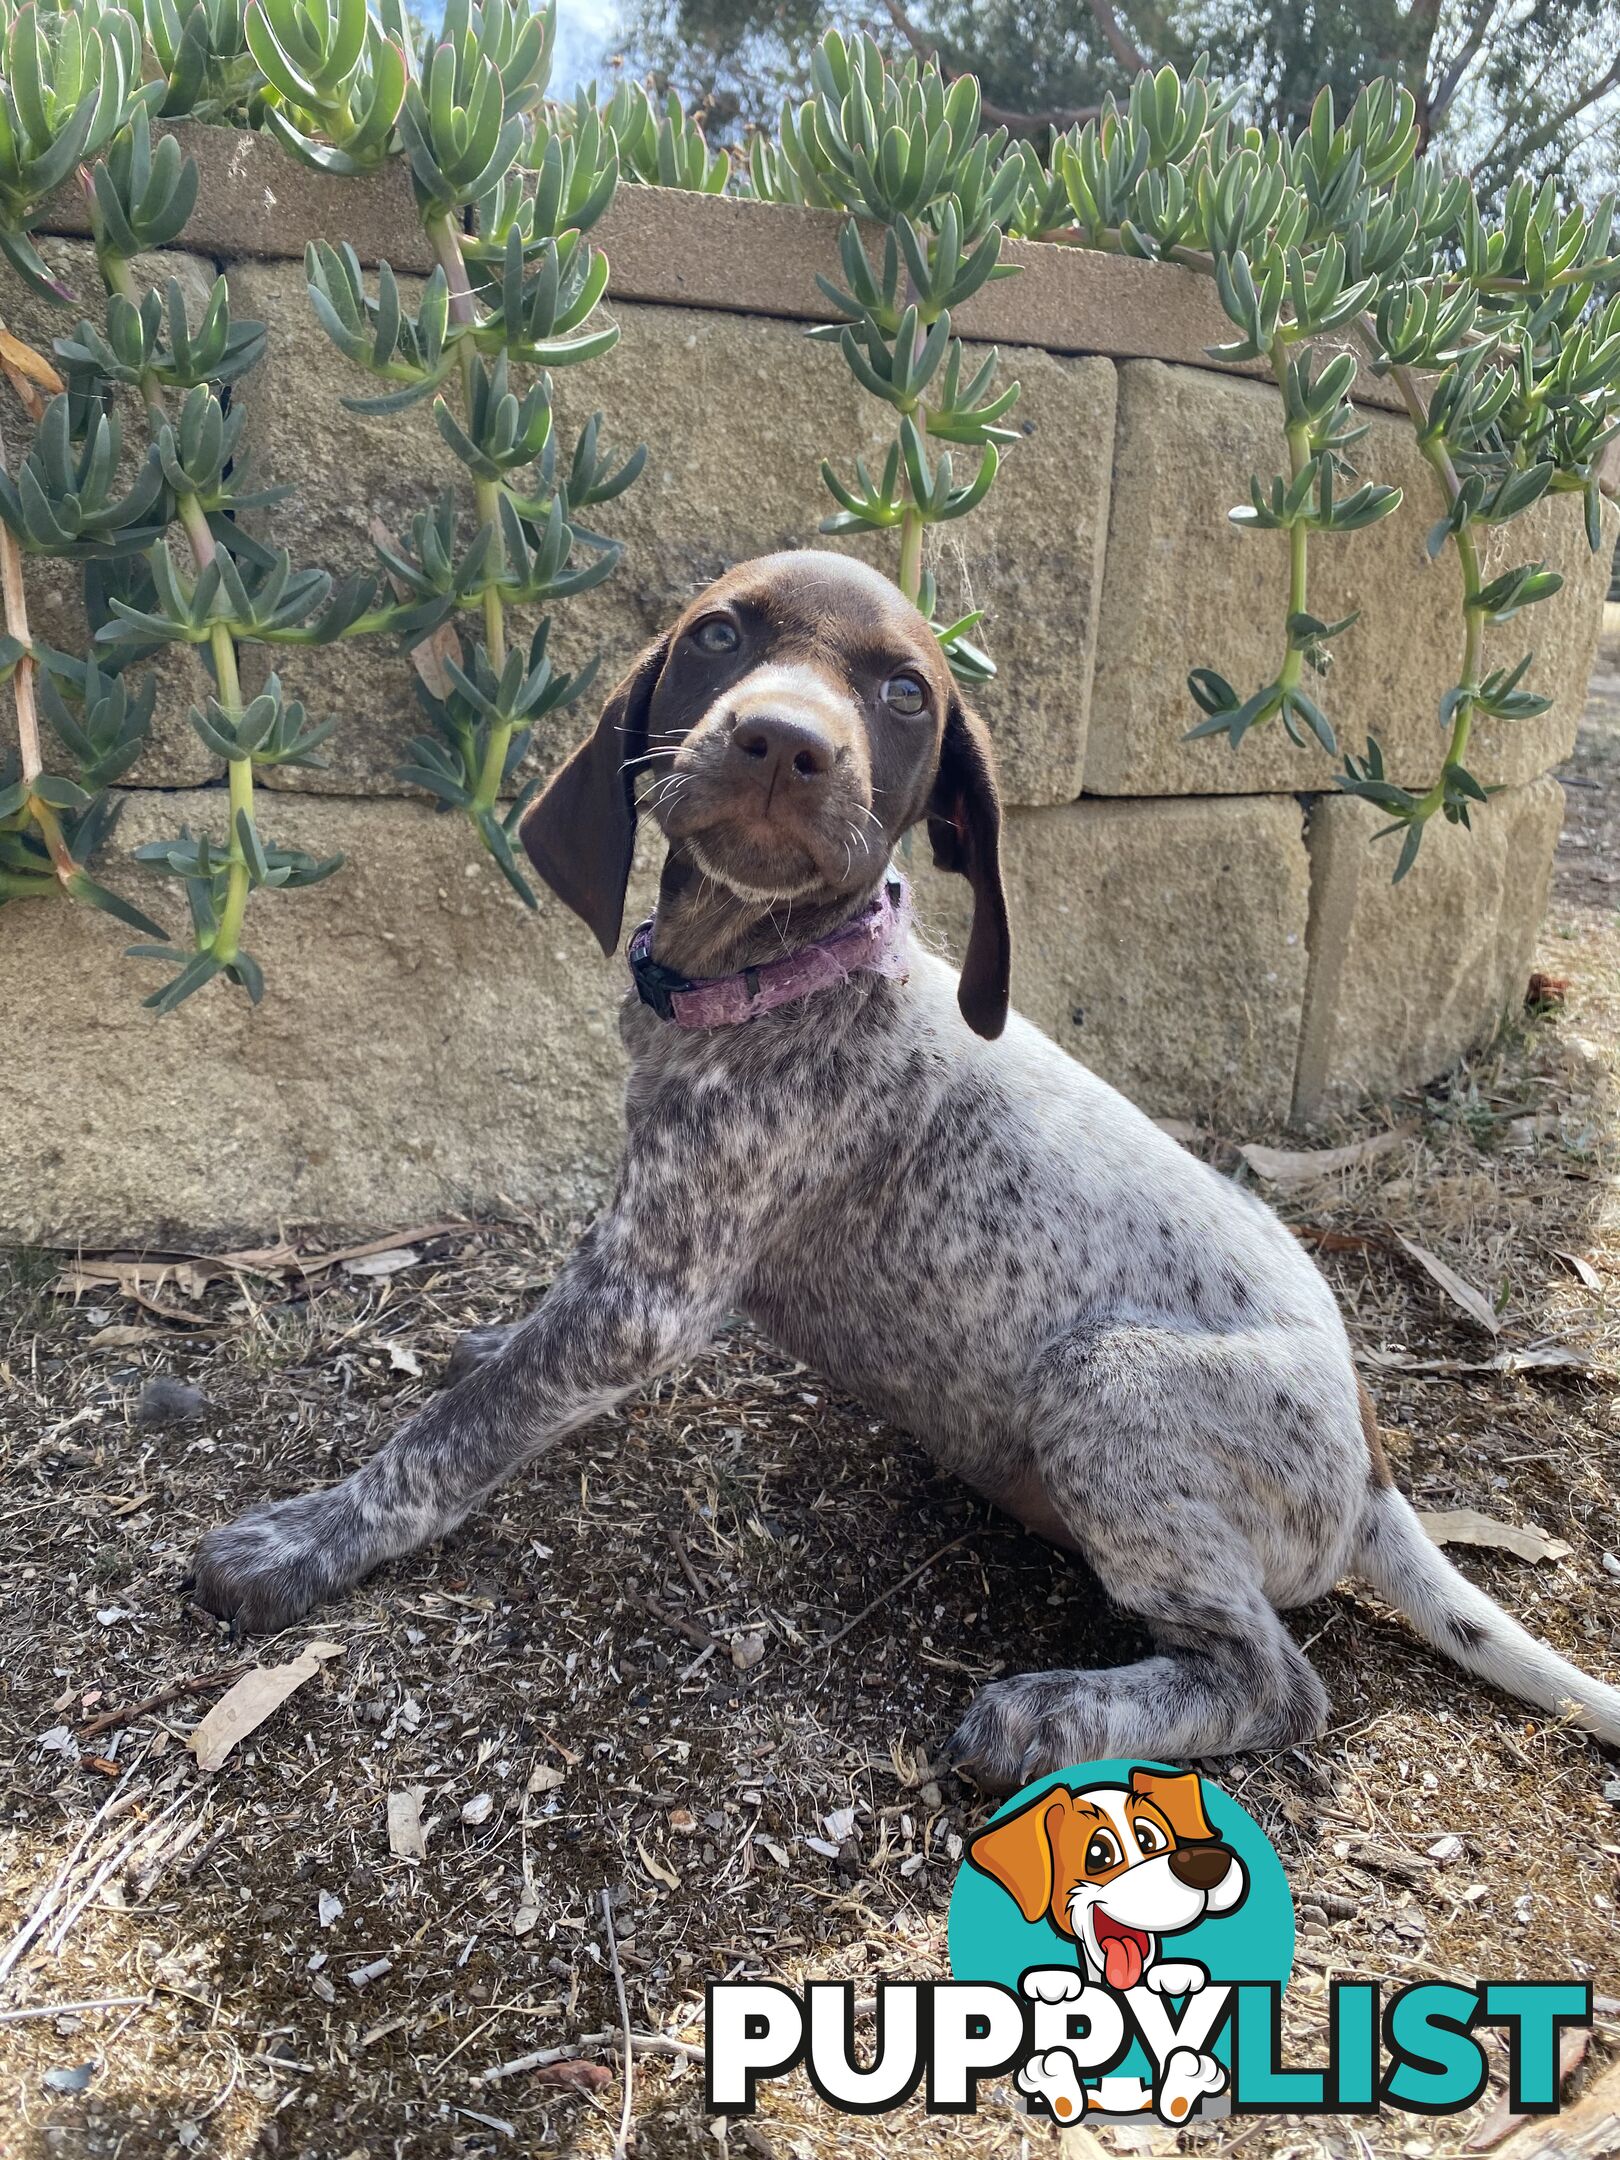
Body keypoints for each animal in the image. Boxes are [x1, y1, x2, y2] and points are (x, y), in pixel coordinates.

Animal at [196, 548, 1620, 1779]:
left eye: (903, 695)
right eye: (720, 635)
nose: (783, 741)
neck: (775, 976)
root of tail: (1372, 1469)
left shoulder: (650, 1295)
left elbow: (449, 1441)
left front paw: (309, 1538)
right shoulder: (639, 1246)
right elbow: (522, 1356)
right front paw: (494, 1345)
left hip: (1108, 1386)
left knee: (1278, 1685)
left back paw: (1054, 1717)